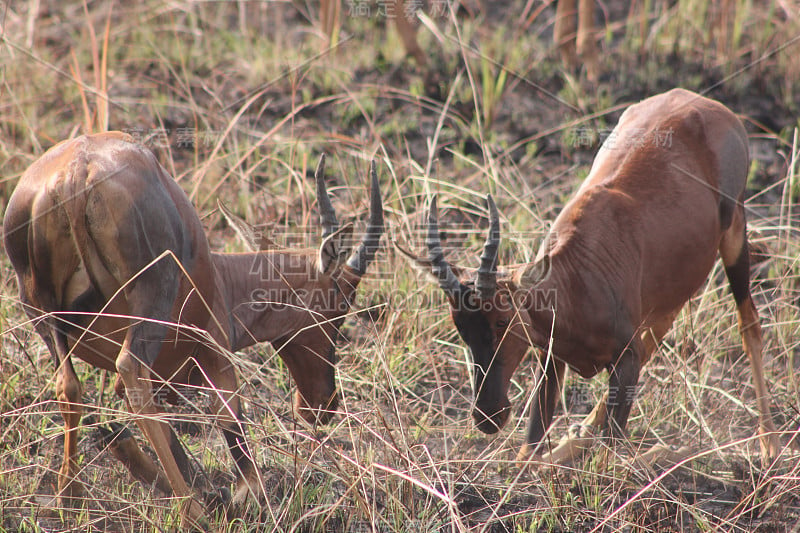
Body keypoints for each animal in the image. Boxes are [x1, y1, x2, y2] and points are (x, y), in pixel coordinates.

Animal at [2, 131, 384, 520]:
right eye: (340, 302)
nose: (322, 403)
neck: (221, 278)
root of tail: (78, 172)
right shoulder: (214, 355)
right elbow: (232, 427)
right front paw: (233, 496)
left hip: (41, 312)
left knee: (69, 388)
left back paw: (70, 496)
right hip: (151, 300)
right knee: (130, 374)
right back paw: (191, 511)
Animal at [400, 89, 780, 468]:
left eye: (502, 320)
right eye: (460, 328)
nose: (487, 416)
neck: (577, 278)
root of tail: (701, 101)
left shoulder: (624, 360)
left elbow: (610, 455)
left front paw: (663, 451)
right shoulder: (551, 358)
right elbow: (529, 457)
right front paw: (570, 442)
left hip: (735, 233)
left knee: (749, 324)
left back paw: (769, 445)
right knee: (659, 332)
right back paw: (579, 434)